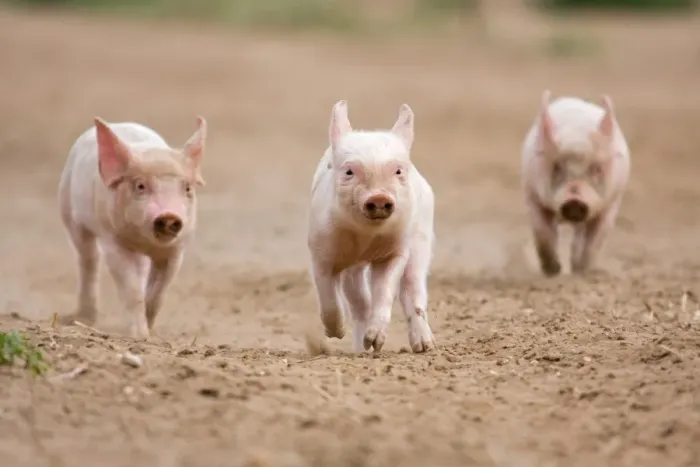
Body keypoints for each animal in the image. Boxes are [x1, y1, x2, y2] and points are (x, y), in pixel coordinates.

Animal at [58, 117, 207, 339]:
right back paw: (84, 319)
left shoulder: (176, 250)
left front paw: (150, 332)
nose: (169, 215)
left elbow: (158, 293)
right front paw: (139, 336)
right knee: (88, 259)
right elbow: (132, 290)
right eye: (140, 186)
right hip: (69, 210)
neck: (145, 241)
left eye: (187, 188)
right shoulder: (112, 241)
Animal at [307, 100, 436, 354]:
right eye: (349, 171)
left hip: (422, 237)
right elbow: (327, 296)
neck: (365, 239)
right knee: (359, 303)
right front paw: (337, 333)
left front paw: (376, 342)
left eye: (398, 171)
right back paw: (360, 349)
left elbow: (385, 292)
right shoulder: (320, 251)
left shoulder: (395, 251)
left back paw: (424, 346)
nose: (378, 197)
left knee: (412, 289)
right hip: (352, 269)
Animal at [521, 90, 630, 276]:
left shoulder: (613, 200)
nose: (574, 202)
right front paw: (553, 271)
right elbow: (542, 233)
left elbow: (595, 238)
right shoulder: (532, 193)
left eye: (597, 169)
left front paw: (581, 271)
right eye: (556, 167)